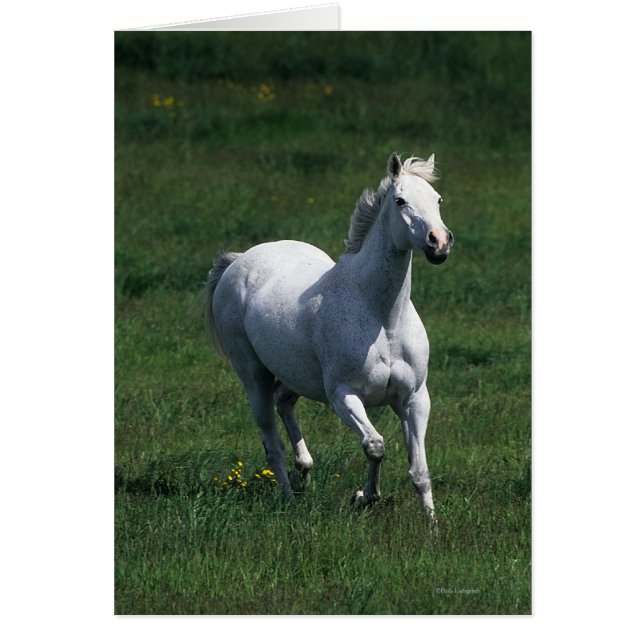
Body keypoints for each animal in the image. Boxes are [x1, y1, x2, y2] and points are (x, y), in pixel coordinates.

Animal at [203, 153, 453, 524]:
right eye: (400, 201)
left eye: (437, 200)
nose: (439, 242)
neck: (382, 318)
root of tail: (237, 261)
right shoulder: (343, 395)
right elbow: (375, 446)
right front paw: (364, 497)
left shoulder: (414, 399)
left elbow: (419, 471)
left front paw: (432, 525)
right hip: (253, 376)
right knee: (272, 442)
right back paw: (289, 498)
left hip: (296, 375)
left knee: (284, 403)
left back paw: (304, 473)